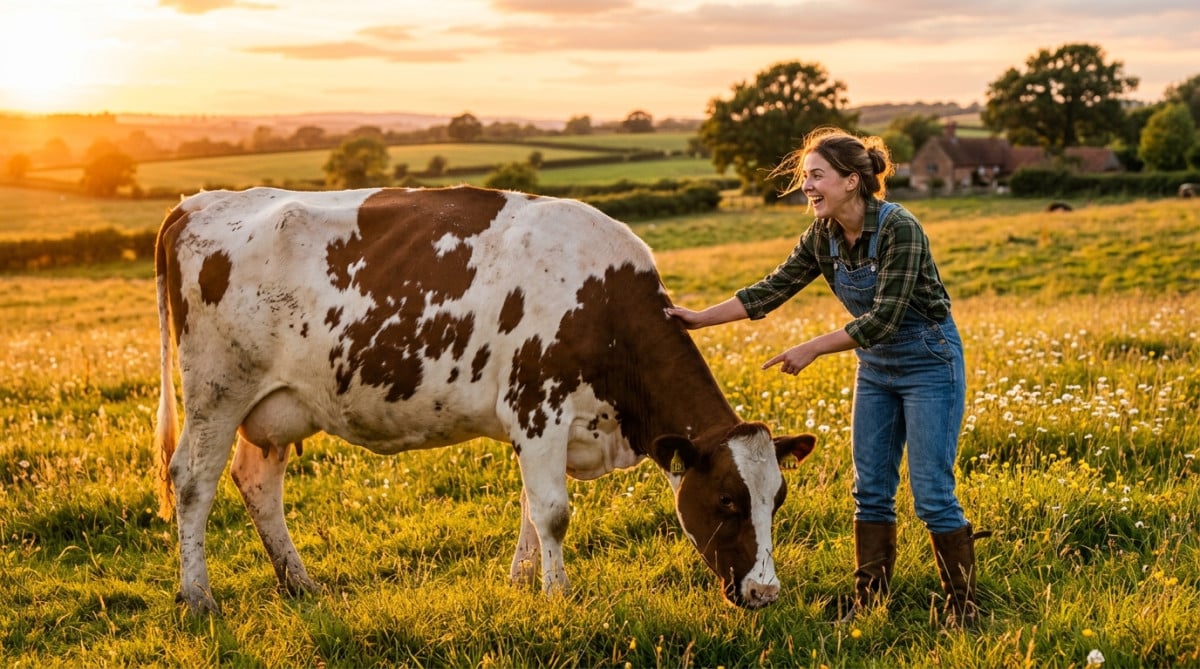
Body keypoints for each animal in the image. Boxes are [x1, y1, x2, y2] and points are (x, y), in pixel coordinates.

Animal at [153, 185, 816, 616]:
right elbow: (553, 512)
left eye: (777, 500)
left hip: (273, 406)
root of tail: (199, 202)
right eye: (728, 500)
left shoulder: (539, 427)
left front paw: (524, 583)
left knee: (257, 481)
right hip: (217, 390)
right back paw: (198, 598)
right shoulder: (538, 408)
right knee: (192, 481)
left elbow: (530, 508)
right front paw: (559, 596)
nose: (765, 593)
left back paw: (299, 584)